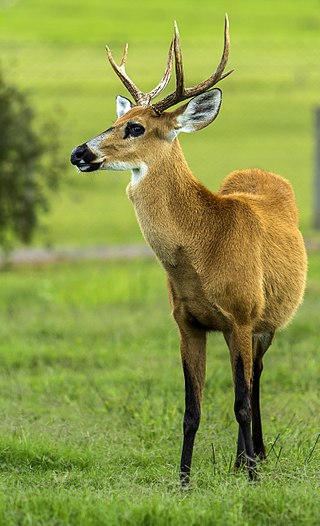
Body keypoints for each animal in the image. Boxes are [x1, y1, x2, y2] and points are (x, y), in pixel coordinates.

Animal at [70, 15, 308, 486]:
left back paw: (254, 458)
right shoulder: (186, 322)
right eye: (117, 117)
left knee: (254, 382)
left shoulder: (241, 315)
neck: (204, 248)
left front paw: (251, 479)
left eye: (135, 127)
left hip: (267, 321)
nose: (78, 153)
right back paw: (244, 457)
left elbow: (240, 402)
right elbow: (191, 409)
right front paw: (183, 480)